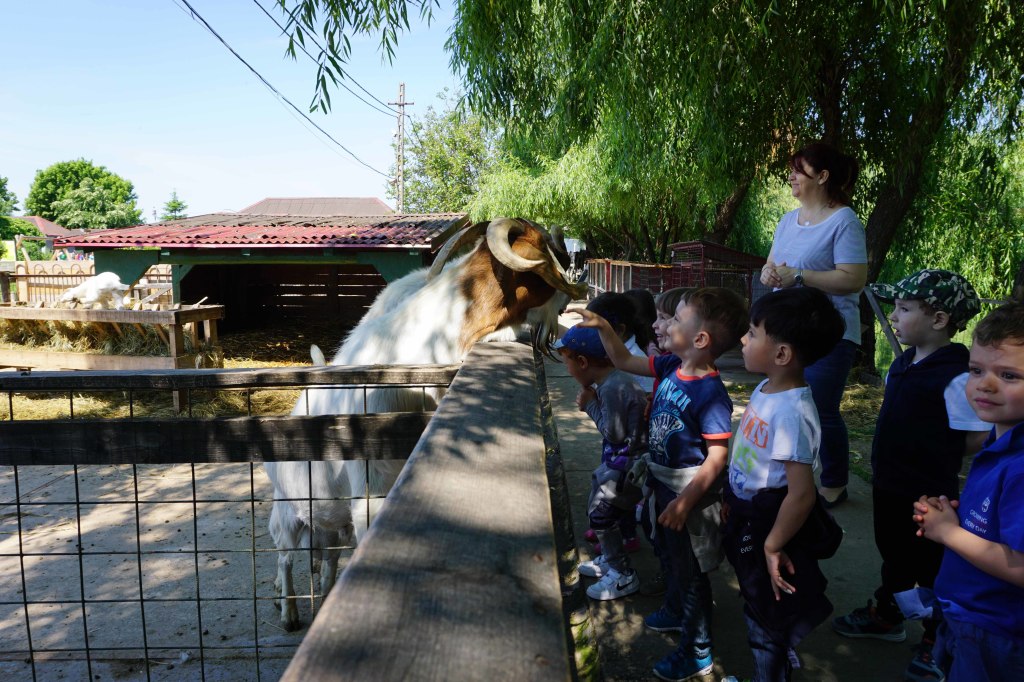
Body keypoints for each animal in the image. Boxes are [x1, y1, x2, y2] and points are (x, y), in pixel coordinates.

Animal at [260, 216, 589, 626]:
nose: (570, 301)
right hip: (287, 512)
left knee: (327, 558)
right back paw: (288, 611)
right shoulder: (371, 483)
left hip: (328, 525)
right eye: (547, 250)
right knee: (286, 557)